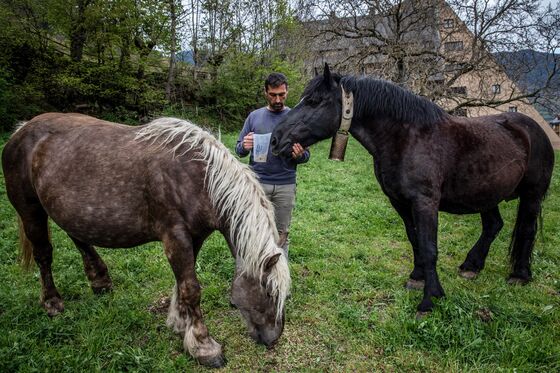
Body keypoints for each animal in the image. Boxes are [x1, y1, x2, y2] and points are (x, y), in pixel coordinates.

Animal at [3, 111, 294, 366]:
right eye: (270, 292)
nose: (273, 340)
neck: (199, 179)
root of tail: (21, 130)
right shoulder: (175, 237)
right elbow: (191, 289)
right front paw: (203, 345)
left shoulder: (194, 237)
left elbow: (182, 285)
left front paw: (180, 324)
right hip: (31, 210)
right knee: (44, 254)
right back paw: (52, 302)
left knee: (79, 238)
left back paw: (100, 281)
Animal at [272, 64, 556, 314]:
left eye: (314, 101)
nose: (275, 140)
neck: (407, 137)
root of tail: (534, 129)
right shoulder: (399, 201)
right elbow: (414, 239)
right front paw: (417, 278)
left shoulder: (425, 202)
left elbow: (429, 247)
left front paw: (430, 300)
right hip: (486, 195)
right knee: (493, 225)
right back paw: (472, 266)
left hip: (531, 196)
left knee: (527, 230)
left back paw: (520, 275)